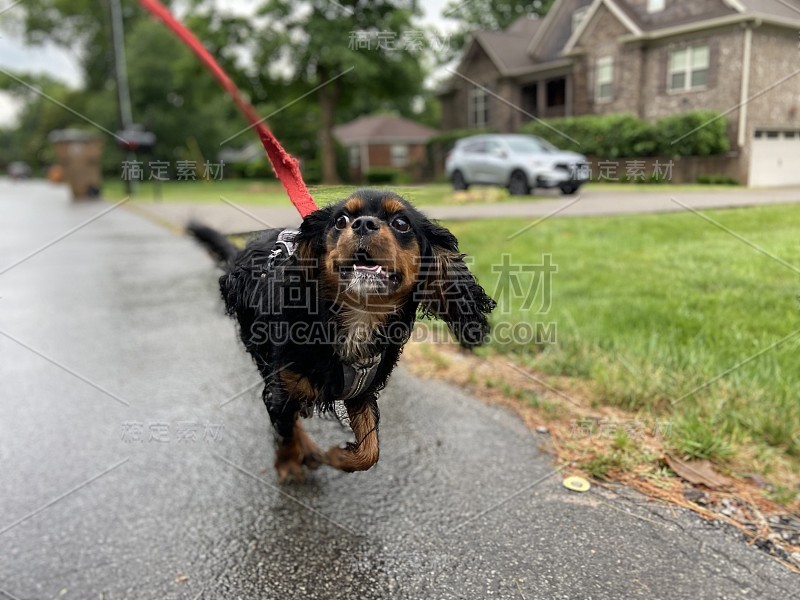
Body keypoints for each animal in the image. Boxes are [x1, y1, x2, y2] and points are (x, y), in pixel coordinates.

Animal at [191, 190, 496, 480]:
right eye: (341, 221)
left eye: (401, 223)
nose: (363, 224)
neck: (359, 315)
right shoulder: (282, 382)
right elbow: (285, 427)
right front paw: (289, 464)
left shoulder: (362, 389)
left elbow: (370, 449)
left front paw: (338, 456)